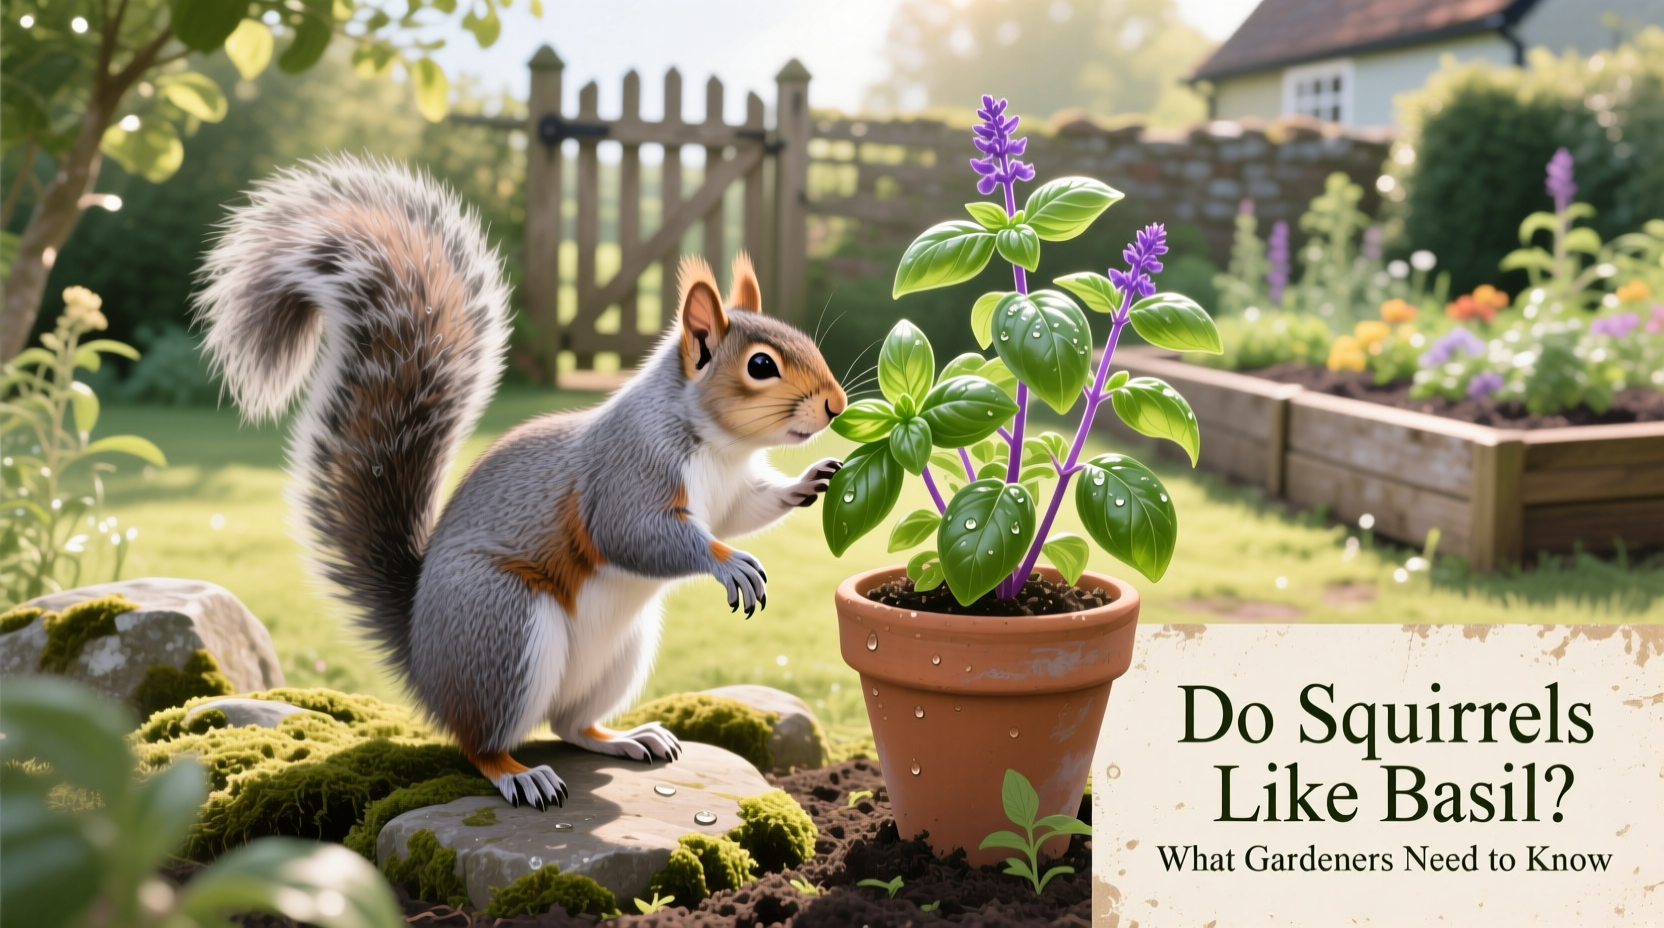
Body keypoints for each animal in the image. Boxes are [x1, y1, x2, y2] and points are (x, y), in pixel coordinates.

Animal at [193, 156, 847, 809]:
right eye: (760, 365)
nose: (836, 406)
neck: (720, 448)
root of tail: (422, 659)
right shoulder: (628, 471)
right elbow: (634, 533)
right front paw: (729, 562)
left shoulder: (732, 492)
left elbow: (749, 510)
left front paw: (811, 480)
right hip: (504, 627)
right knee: (479, 740)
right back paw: (518, 773)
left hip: (619, 654)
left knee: (569, 724)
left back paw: (624, 737)